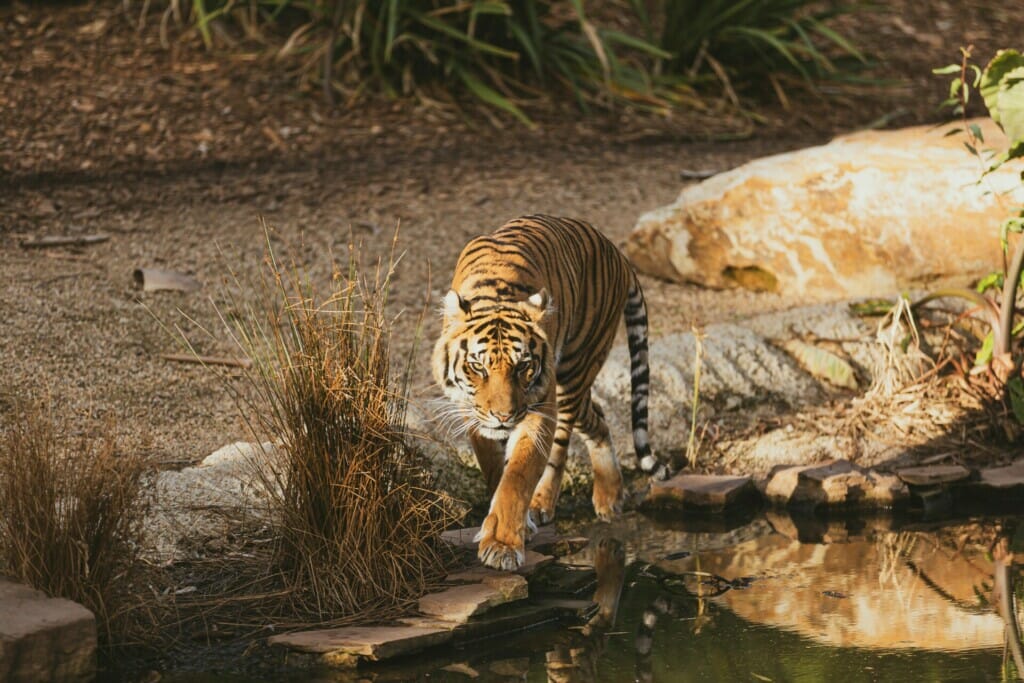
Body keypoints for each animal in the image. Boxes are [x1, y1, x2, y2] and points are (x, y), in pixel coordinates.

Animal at [430, 215, 663, 573]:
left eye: (523, 366)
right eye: (478, 367)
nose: (504, 416)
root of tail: (617, 252)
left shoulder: (537, 409)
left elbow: (517, 477)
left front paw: (501, 545)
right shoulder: (473, 416)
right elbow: (496, 469)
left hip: (573, 371)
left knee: (568, 441)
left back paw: (561, 501)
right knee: (598, 416)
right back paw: (606, 496)